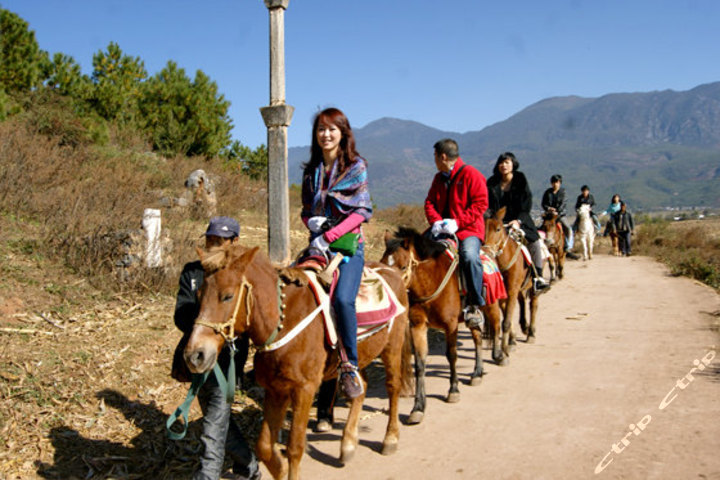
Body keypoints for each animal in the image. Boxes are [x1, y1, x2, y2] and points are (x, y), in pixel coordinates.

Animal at [183, 246, 414, 480]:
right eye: (199, 295)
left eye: (227, 296)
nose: (195, 355)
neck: (283, 321)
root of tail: (392, 271)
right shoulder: (276, 390)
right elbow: (264, 446)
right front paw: (280, 468)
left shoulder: (304, 389)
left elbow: (295, 447)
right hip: (360, 354)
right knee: (362, 386)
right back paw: (348, 444)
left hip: (392, 348)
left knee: (393, 387)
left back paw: (390, 439)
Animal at [380, 231, 504, 426]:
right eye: (383, 263)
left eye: (402, 266)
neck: (431, 281)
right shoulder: (418, 326)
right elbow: (420, 363)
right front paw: (418, 407)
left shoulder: (450, 325)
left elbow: (451, 355)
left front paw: (453, 390)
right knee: (477, 338)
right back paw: (477, 373)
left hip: (491, 304)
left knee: (497, 324)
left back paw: (499, 355)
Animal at [484, 206, 540, 344]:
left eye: (498, 229)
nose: (487, 250)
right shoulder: (505, 292)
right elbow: (506, 315)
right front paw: (512, 338)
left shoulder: (511, 290)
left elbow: (506, 321)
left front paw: (507, 345)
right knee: (522, 301)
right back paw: (524, 326)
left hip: (532, 287)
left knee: (533, 304)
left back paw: (531, 333)